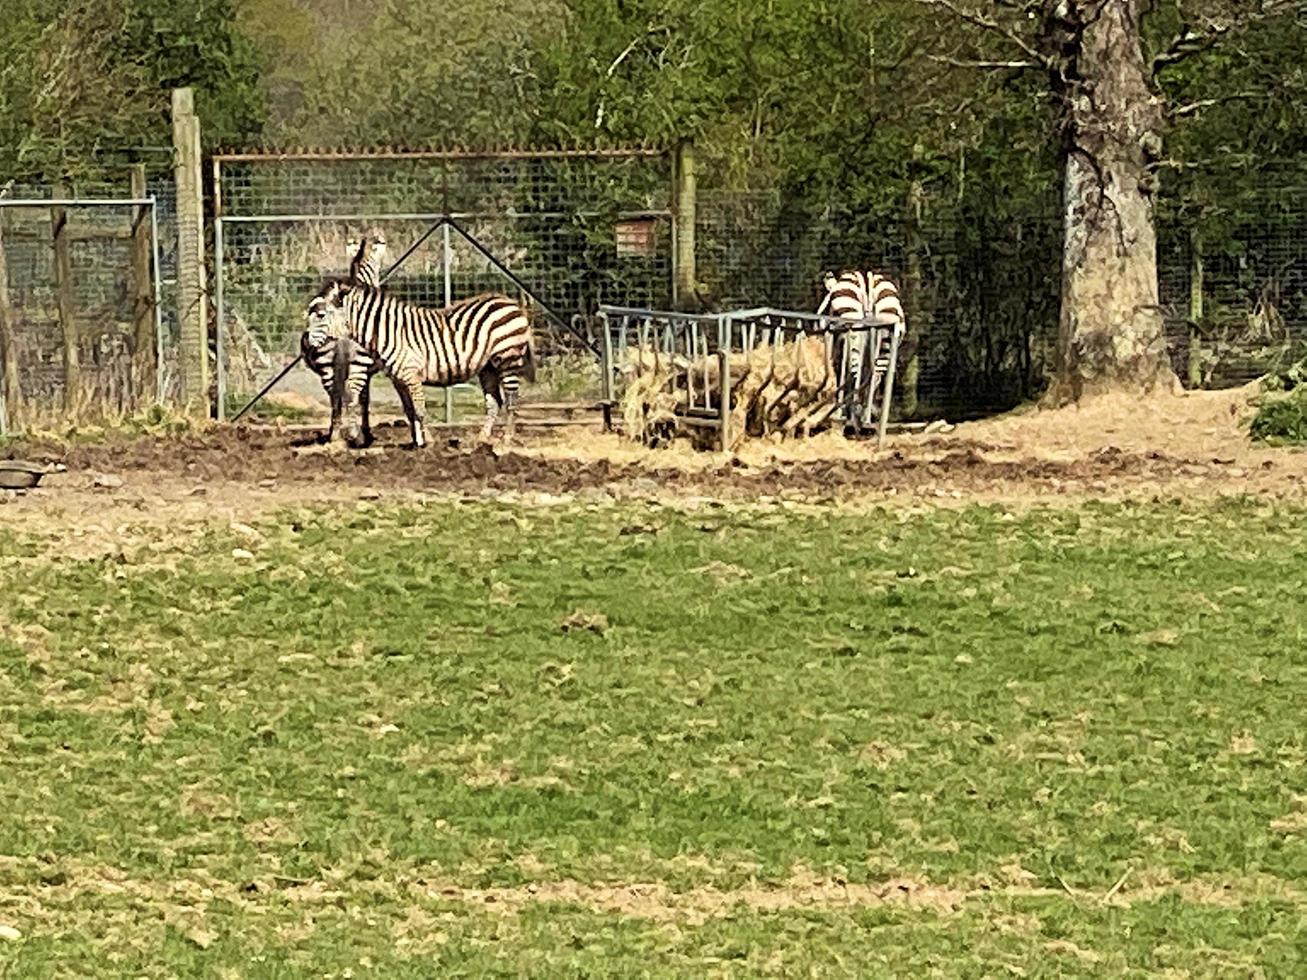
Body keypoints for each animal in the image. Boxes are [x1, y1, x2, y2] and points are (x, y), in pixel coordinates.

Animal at [300, 232, 386, 446]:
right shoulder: (368, 372)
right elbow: (364, 399)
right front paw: (366, 432)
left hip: (327, 368)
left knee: (335, 397)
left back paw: (335, 434)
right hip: (358, 365)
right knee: (351, 396)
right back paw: (355, 435)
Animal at [303, 273, 533, 449]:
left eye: (320, 315)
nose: (307, 345)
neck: (386, 332)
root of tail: (510, 303)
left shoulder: (411, 374)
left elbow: (420, 409)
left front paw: (427, 443)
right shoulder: (398, 378)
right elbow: (410, 410)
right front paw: (417, 441)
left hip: (508, 359)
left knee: (512, 400)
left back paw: (506, 440)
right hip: (488, 366)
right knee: (494, 402)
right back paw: (481, 439)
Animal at [820, 273, 904, 433]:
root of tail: (868, 281)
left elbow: (843, 376)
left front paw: (841, 413)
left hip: (855, 331)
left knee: (856, 373)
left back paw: (853, 421)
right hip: (885, 338)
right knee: (874, 376)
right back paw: (866, 421)